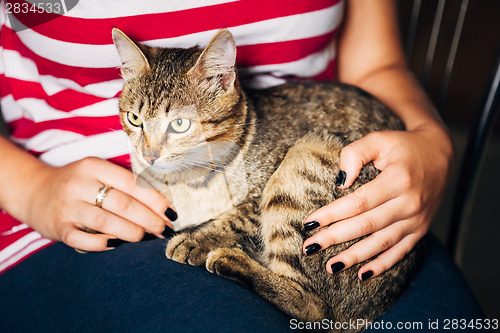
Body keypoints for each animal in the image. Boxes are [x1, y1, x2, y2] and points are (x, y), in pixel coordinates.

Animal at [112, 28, 422, 330]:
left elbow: (237, 218)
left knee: (314, 308)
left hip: (305, 157)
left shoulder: (261, 192)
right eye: (135, 119)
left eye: (179, 124)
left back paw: (231, 260)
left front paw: (198, 240)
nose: (148, 155)